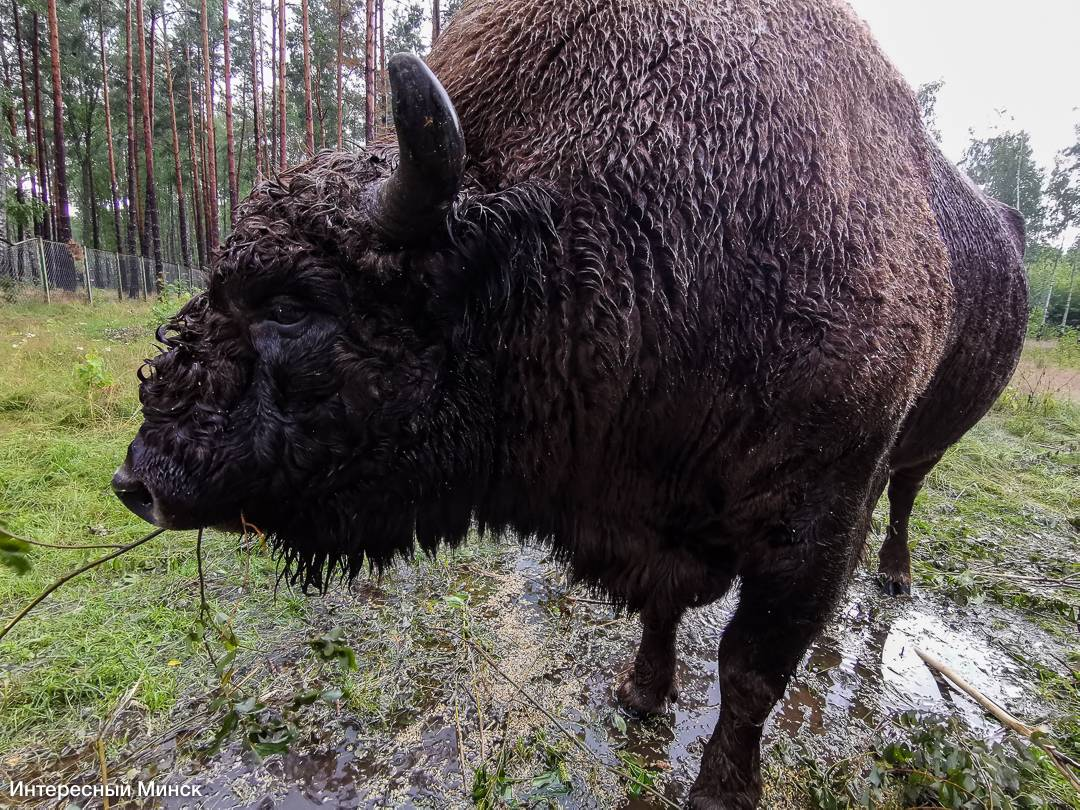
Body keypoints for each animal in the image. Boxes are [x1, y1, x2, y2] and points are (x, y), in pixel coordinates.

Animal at [111, 0, 1028, 807]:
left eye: (292, 303)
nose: (139, 482)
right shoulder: (655, 515)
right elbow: (662, 608)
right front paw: (639, 693)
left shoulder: (811, 525)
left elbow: (749, 670)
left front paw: (720, 791)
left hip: (916, 450)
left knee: (904, 495)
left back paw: (895, 579)